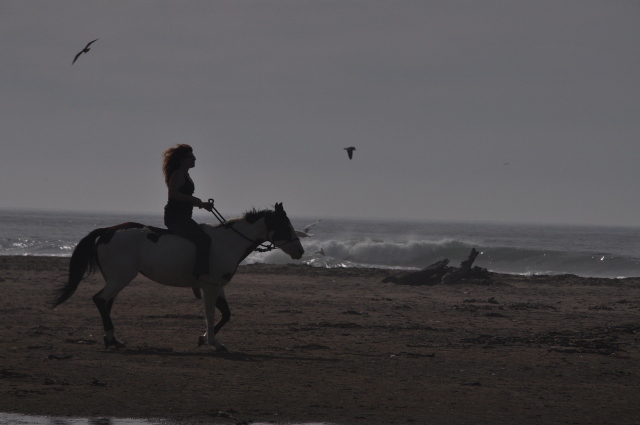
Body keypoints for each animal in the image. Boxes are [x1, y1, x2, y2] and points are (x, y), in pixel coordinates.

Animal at [53, 202, 304, 352]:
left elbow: (226, 314)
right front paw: (213, 341)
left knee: (106, 303)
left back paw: (112, 339)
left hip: (114, 278)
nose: (300, 251)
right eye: (285, 225)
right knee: (100, 300)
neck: (228, 242)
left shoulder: (217, 286)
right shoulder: (209, 286)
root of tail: (107, 231)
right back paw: (111, 337)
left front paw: (204, 338)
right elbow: (211, 314)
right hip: (121, 278)